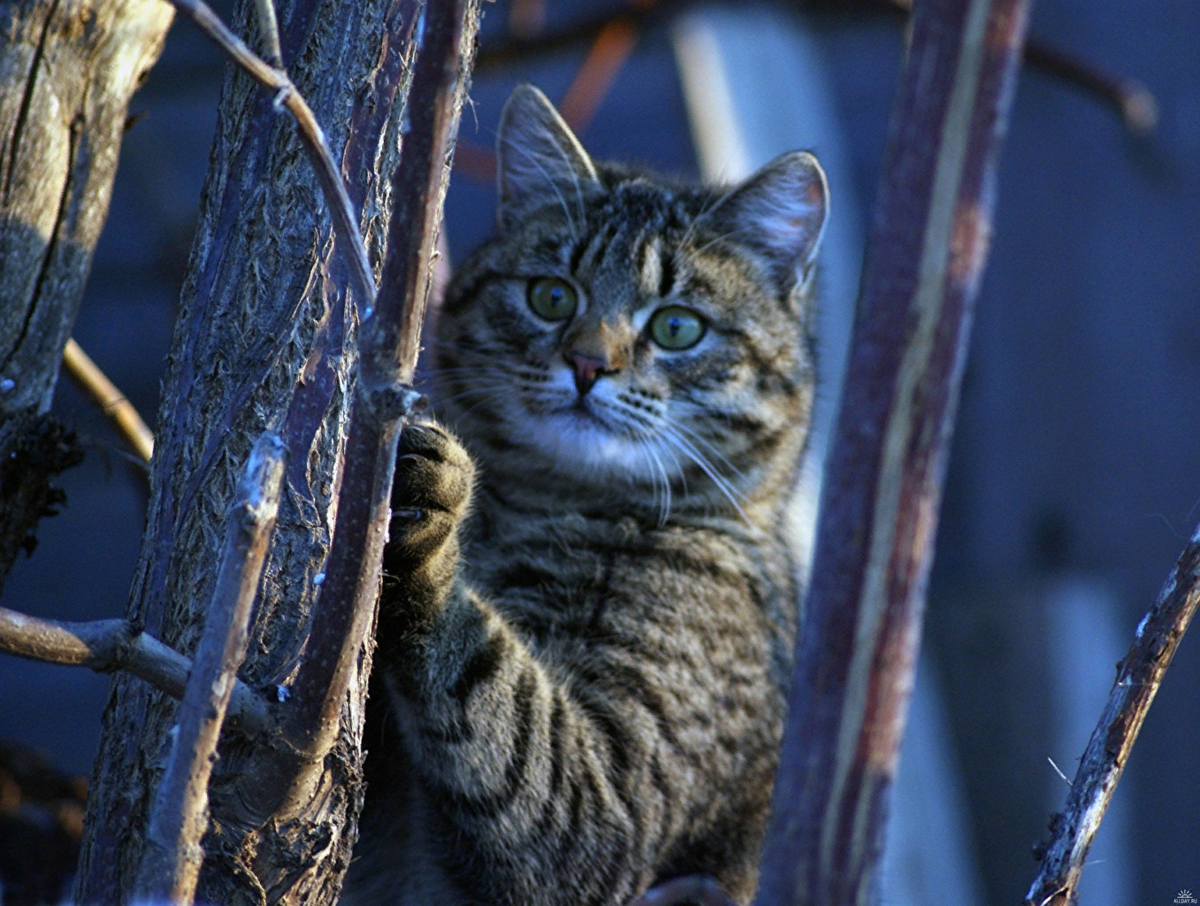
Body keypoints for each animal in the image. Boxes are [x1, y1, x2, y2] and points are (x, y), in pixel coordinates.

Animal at [348, 87, 825, 906]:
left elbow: (493, 689)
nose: (587, 363)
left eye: (677, 326)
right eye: (550, 295)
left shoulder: (612, 793)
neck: (542, 505)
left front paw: (434, 524)